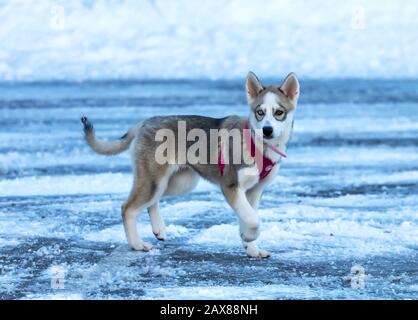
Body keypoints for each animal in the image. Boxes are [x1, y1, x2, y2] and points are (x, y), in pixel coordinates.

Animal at [80, 72, 298, 258]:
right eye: (260, 112)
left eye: (279, 112)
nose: (267, 130)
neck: (259, 146)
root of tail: (146, 121)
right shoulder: (230, 186)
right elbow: (253, 219)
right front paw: (249, 237)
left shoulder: (254, 191)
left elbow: (249, 217)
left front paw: (251, 248)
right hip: (155, 180)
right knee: (128, 208)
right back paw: (137, 245)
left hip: (177, 183)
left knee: (152, 201)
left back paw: (158, 229)